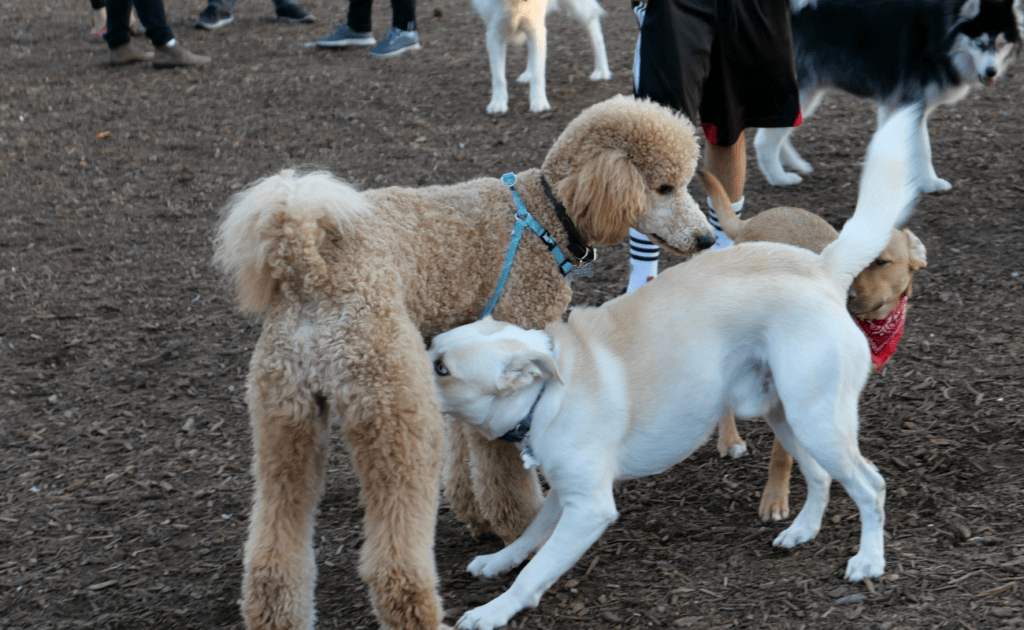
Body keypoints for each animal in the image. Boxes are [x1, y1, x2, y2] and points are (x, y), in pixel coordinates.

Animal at [428, 108, 925, 630]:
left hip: (817, 421)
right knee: (820, 476)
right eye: (433, 346)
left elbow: (534, 571)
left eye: (441, 368)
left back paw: (868, 561)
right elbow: (529, 536)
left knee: (871, 486)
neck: (549, 389)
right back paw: (802, 531)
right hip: (785, 416)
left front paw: (492, 610)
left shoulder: (589, 508)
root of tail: (824, 270)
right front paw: (496, 561)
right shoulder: (565, 491)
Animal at [475, 0, 610, 114]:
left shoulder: (536, 30)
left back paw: (601, 71)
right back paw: (528, 74)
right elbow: (499, 78)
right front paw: (498, 103)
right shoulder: (494, 35)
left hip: (578, 8)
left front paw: (539, 103)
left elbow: (538, 75)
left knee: (595, 29)